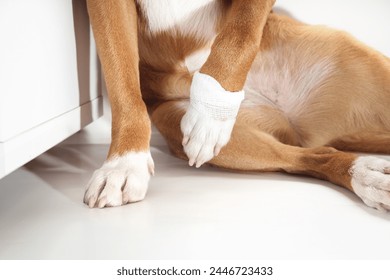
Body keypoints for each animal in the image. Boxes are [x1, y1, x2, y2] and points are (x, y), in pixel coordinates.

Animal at [83, 0, 390, 210]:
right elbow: (121, 79)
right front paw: (123, 164)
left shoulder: (246, 24)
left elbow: (242, 29)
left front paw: (212, 113)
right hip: (178, 122)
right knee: (313, 155)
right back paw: (364, 174)